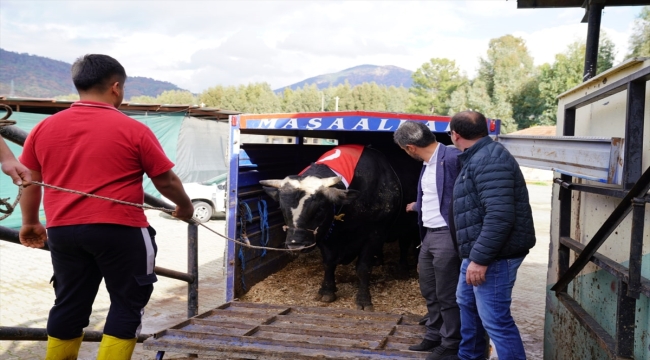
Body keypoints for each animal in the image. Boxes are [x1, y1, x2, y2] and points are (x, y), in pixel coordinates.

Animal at [258, 145, 400, 310]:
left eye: (319, 209)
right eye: (281, 208)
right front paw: (327, 290)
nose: (295, 245)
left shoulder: (374, 233)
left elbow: (363, 268)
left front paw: (364, 299)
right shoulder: (324, 235)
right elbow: (328, 263)